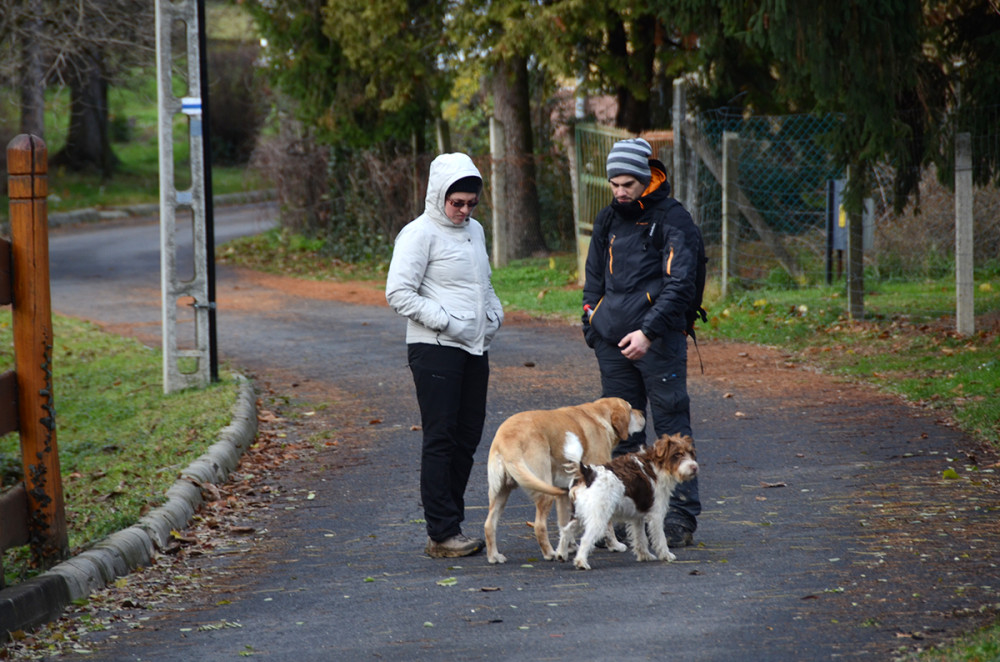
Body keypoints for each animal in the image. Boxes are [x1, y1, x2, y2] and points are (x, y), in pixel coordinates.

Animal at [486, 400, 648, 564]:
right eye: (630, 409)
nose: (643, 413)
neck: (599, 416)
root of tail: (507, 441)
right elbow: (607, 526)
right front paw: (614, 545)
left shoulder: (564, 493)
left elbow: (564, 525)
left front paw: (567, 548)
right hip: (544, 493)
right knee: (539, 526)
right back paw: (549, 553)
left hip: (500, 495)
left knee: (489, 525)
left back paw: (494, 556)